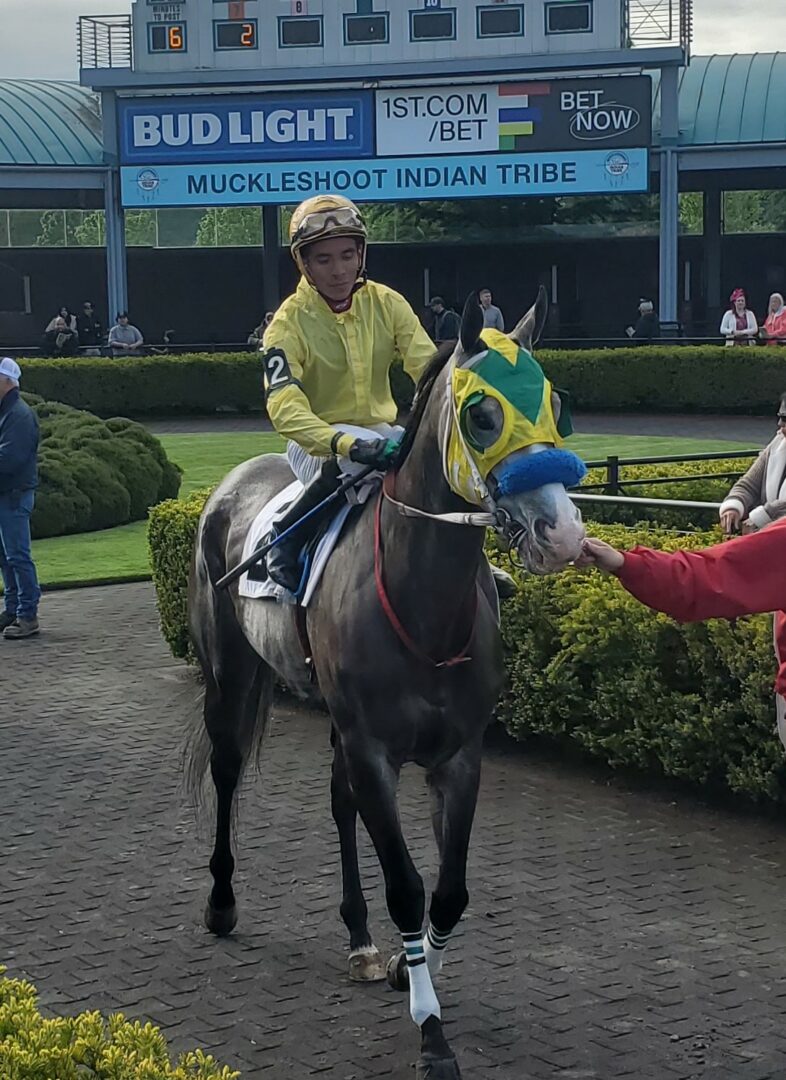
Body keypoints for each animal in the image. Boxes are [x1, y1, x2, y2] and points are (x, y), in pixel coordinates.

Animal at [188, 288, 586, 1078]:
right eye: (483, 413)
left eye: (556, 400)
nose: (562, 534)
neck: (420, 606)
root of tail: (230, 485)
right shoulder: (376, 748)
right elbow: (407, 886)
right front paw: (431, 1033)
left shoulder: (457, 753)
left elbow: (451, 892)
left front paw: (412, 964)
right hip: (230, 673)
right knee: (226, 769)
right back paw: (221, 902)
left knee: (339, 803)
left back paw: (360, 940)